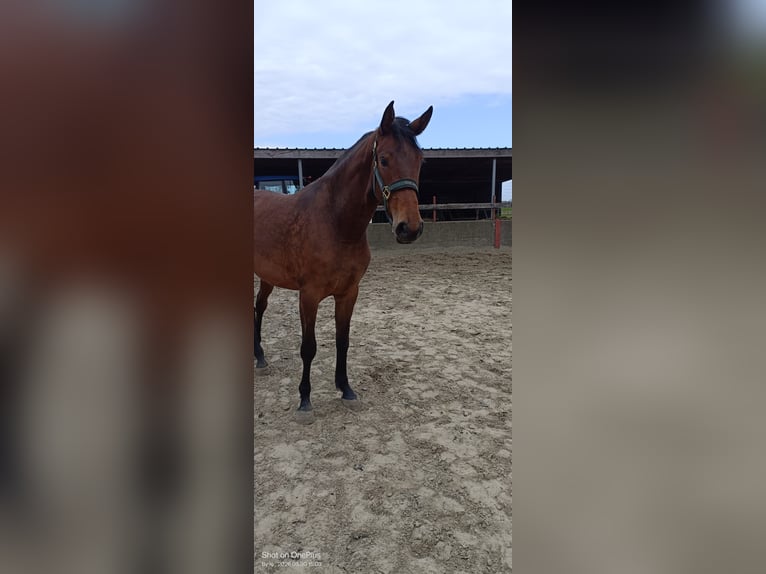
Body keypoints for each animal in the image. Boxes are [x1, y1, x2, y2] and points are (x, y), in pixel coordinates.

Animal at [253, 101, 433, 423]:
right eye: (384, 159)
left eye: (420, 162)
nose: (409, 228)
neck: (335, 223)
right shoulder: (309, 296)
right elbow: (308, 347)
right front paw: (304, 401)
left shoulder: (349, 293)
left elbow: (343, 341)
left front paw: (346, 389)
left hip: (267, 277)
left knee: (258, 308)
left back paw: (260, 358)